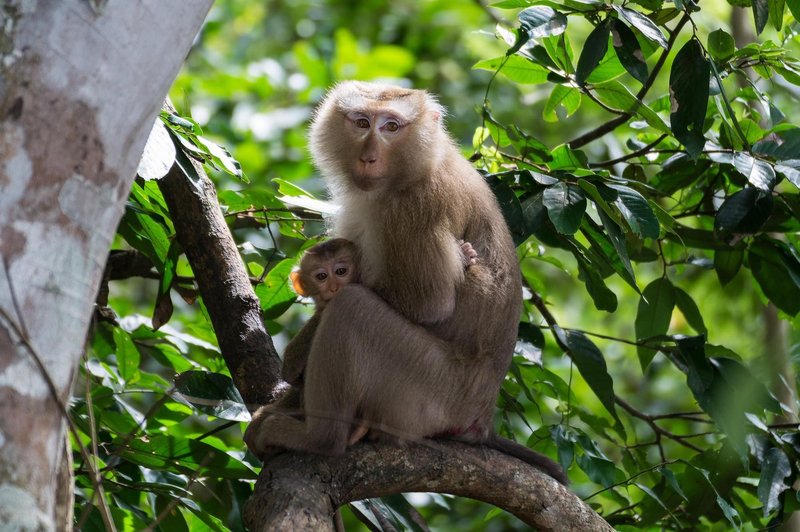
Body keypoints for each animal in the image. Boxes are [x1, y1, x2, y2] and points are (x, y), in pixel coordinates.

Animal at [247, 81, 564, 484]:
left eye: (391, 127)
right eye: (362, 122)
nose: (368, 157)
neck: (418, 164)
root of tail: (481, 420)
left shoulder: (416, 207)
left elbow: (428, 303)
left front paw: (296, 355)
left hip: (428, 393)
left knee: (353, 309)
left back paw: (321, 438)